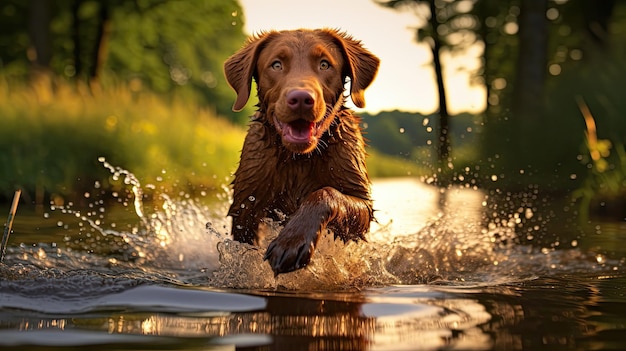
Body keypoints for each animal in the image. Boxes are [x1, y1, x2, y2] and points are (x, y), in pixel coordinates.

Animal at [224, 28, 380, 276]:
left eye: (325, 64)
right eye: (276, 65)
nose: (300, 99)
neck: (299, 158)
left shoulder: (362, 203)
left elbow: (326, 193)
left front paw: (292, 242)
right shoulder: (246, 206)